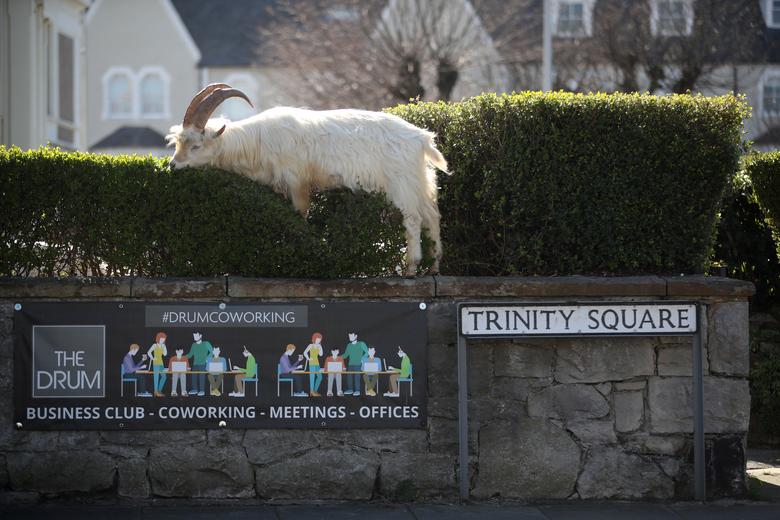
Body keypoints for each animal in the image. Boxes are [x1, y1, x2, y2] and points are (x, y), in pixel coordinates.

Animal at [167, 83, 448, 274]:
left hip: (402, 184)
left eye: (196, 146)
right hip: (421, 180)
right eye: (178, 143)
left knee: (413, 219)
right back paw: (434, 267)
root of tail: (422, 139)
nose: (173, 165)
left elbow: (301, 215)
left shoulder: (297, 182)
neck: (257, 142)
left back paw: (410, 269)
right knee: (432, 215)